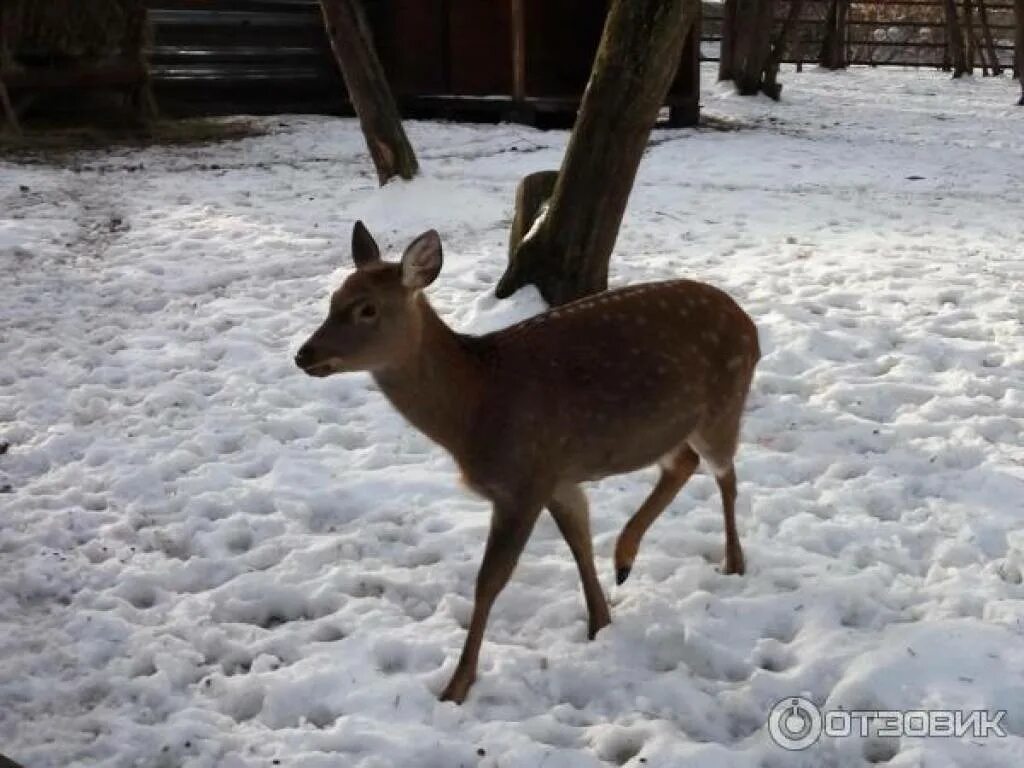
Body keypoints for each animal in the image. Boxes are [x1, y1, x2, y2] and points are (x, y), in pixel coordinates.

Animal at [296, 222, 761, 704]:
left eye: (366, 308)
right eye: (333, 298)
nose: (304, 354)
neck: (475, 407)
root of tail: (750, 325)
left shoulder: (523, 478)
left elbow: (489, 581)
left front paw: (456, 686)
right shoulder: (556, 474)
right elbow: (578, 541)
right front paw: (599, 623)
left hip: (724, 401)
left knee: (726, 473)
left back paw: (732, 562)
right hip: (671, 426)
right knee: (683, 463)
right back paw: (624, 559)